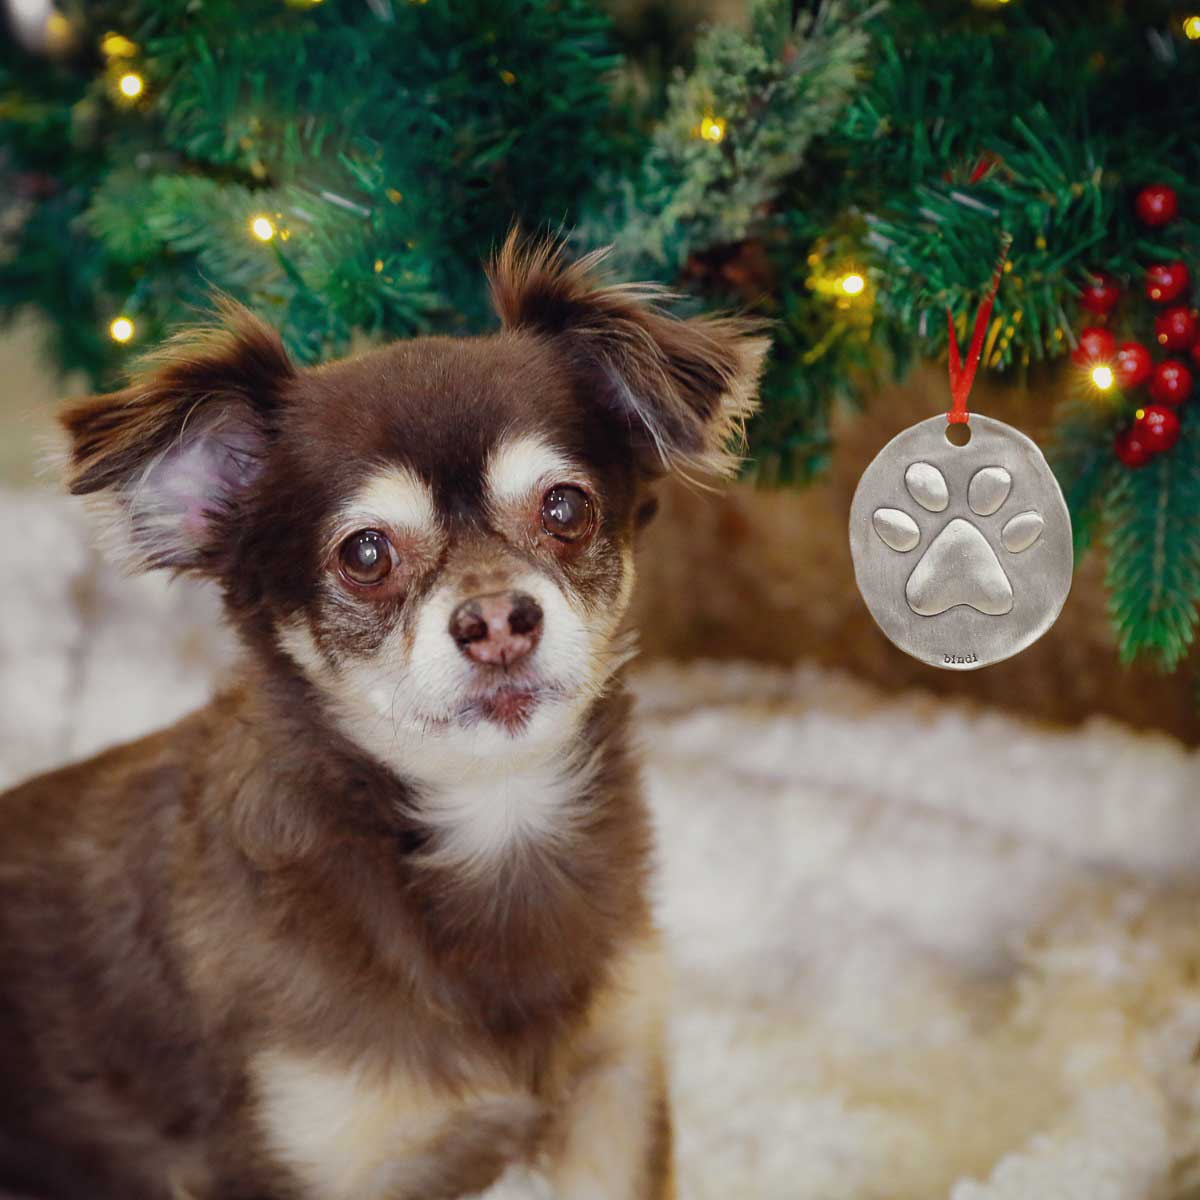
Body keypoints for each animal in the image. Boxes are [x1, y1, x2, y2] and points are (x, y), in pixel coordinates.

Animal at [0, 236, 768, 1200]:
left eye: (566, 507)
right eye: (365, 554)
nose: (498, 620)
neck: (488, 827)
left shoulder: (615, 1091)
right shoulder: (288, 1155)